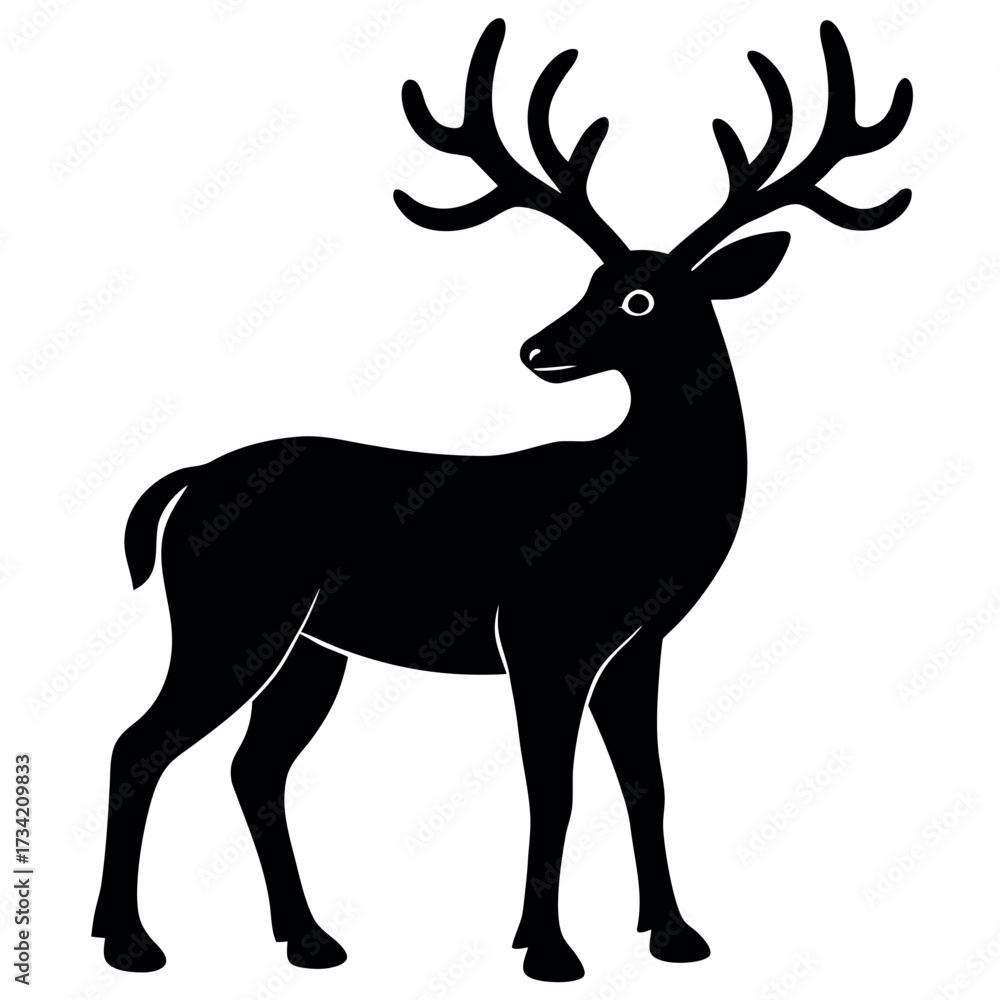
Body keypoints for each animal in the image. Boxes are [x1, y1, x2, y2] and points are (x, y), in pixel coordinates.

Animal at [91, 18, 911, 983]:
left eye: (638, 296)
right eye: (592, 282)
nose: (537, 348)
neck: (643, 507)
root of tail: (185, 484)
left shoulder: (638, 645)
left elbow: (647, 783)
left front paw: (673, 935)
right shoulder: (539, 637)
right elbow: (551, 791)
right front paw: (548, 950)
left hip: (309, 648)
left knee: (253, 768)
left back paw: (308, 939)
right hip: (231, 617)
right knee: (139, 743)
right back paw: (130, 943)